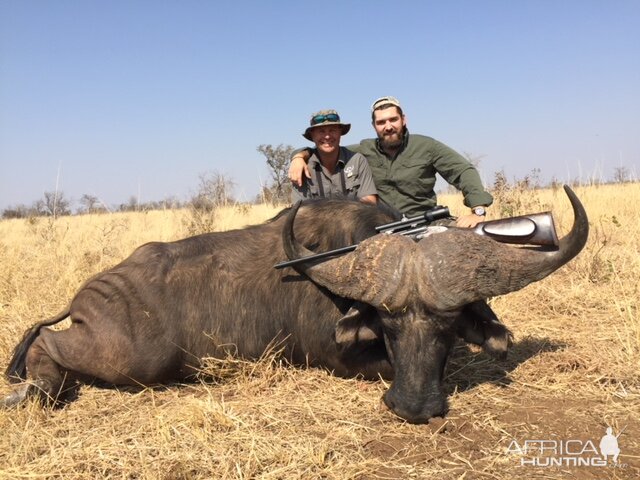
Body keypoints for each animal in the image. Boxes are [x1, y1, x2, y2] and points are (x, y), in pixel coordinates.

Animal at [2, 187, 588, 424]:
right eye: (389, 323)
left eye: (446, 326)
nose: (414, 408)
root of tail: (88, 294)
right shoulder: (341, 359)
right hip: (131, 358)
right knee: (47, 342)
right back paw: (33, 390)